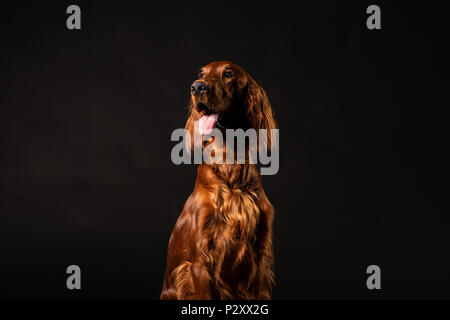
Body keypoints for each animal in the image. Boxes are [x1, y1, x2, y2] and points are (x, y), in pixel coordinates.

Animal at [160, 60, 276, 300]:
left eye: (228, 74)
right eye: (202, 74)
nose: (197, 87)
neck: (231, 169)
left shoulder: (259, 260)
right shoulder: (199, 263)